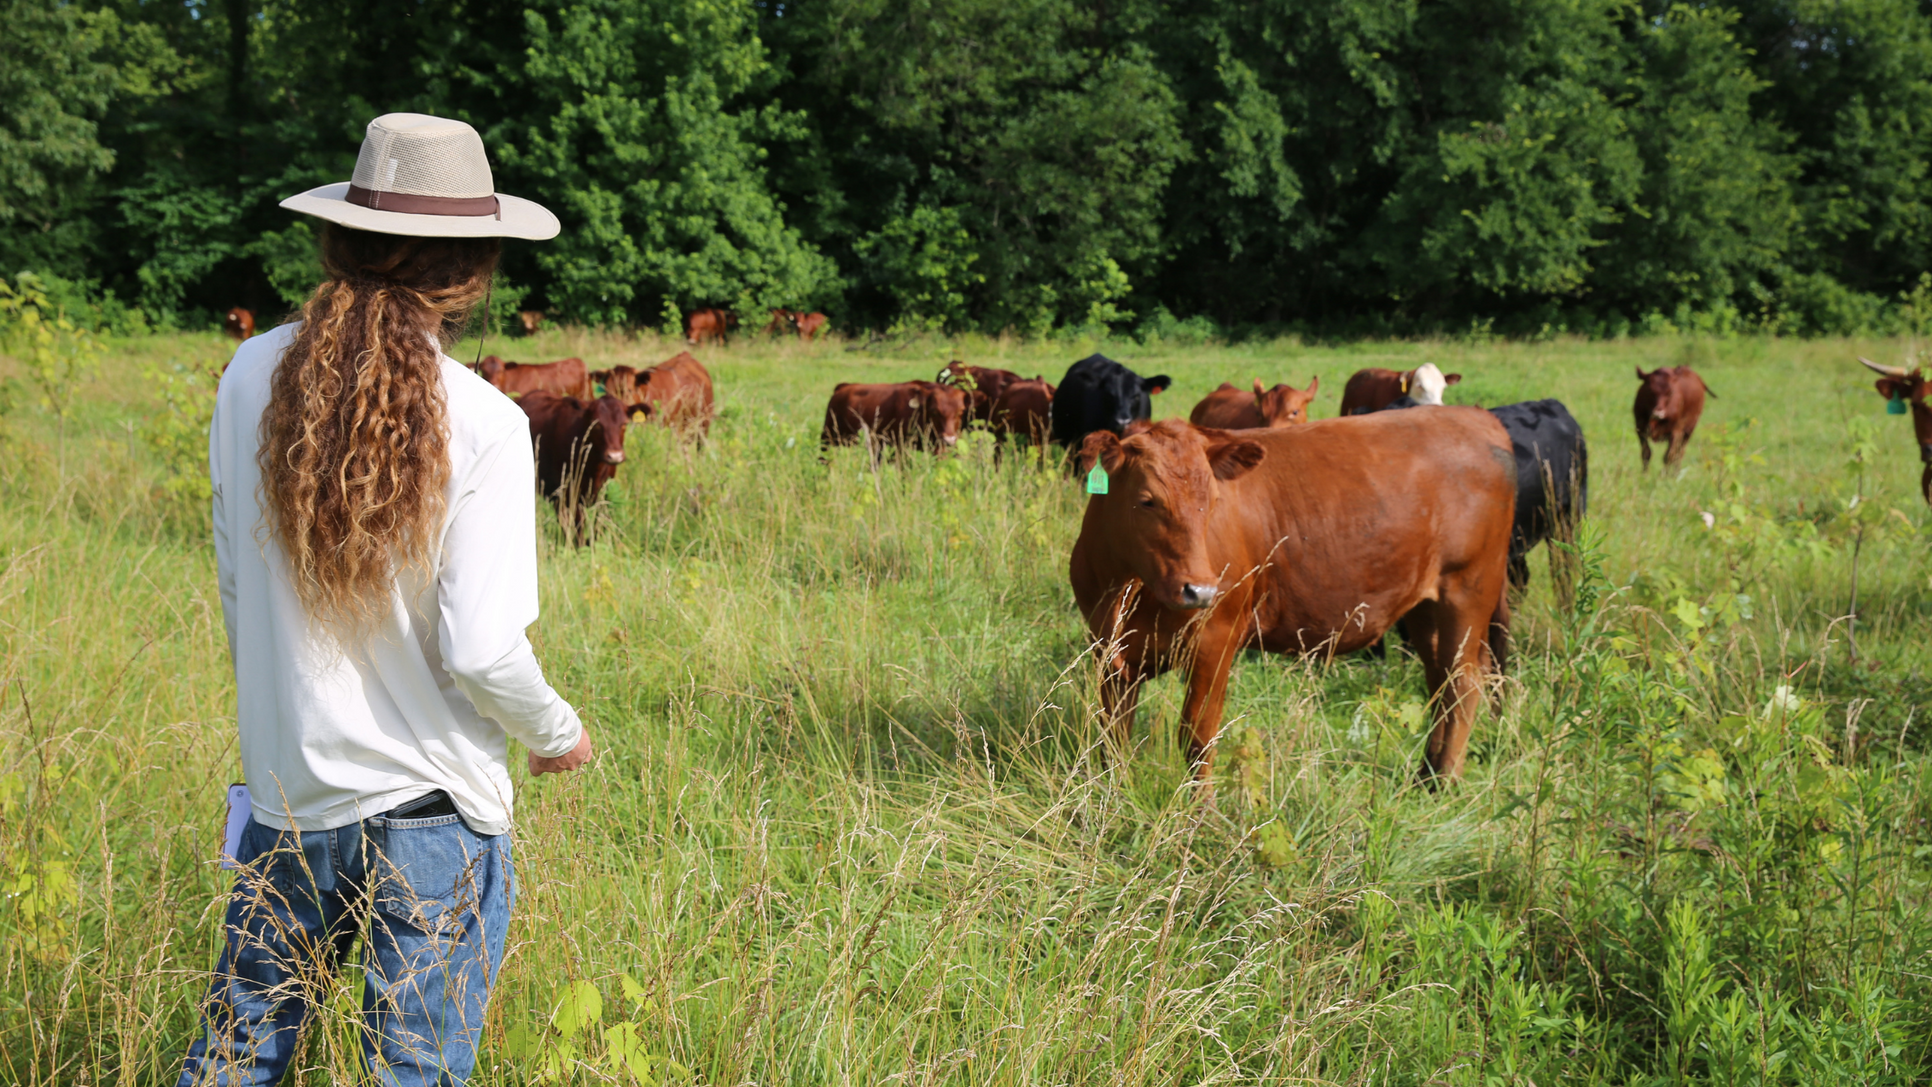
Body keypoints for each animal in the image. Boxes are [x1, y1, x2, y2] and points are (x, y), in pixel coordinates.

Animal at [517, 391, 645, 544]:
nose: (614, 456)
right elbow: (579, 527)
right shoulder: (572, 494)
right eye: (596, 424)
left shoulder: (605, 491)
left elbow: (599, 522)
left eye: (624, 424)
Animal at [819, 382, 966, 455]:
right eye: (934, 411)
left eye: (960, 411)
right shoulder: (901, 447)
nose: (949, 439)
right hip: (828, 437)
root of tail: (844, 386)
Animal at [1074, 415, 1506, 783]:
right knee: (1439, 679)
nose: (1200, 590)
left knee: (1463, 683)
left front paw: (1200, 816)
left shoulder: (1217, 640)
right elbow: (1112, 738)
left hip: (1467, 593)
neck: (1128, 586)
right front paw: (1113, 797)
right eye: (1147, 500)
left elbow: (1198, 736)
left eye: (1213, 501)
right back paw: (1426, 773)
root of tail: (1478, 418)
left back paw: (1443, 781)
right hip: (1424, 608)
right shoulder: (1109, 653)